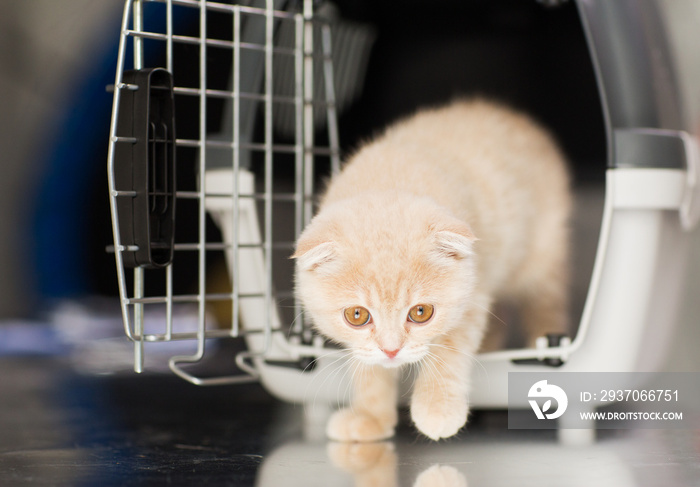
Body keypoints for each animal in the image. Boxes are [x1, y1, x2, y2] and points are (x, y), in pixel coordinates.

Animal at [290, 99, 568, 442]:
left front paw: (437, 409)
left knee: (547, 307)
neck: (389, 176)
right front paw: (371, 417)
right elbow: (367, 365)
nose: (391, 350)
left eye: (420, 312)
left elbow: (449, 349)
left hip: (543, 255)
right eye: (356, 315)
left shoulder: (473, 294)